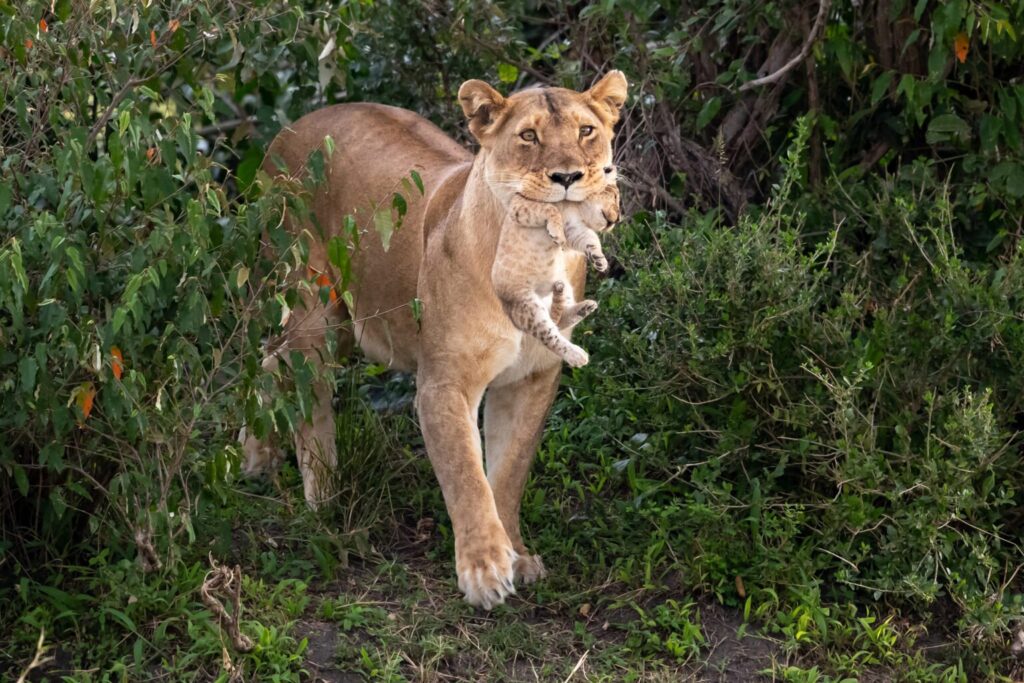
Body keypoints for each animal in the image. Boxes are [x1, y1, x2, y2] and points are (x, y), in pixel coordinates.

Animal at [242, 71, 628, 609]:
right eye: (528, 136)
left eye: (586, 131)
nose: (568, 177)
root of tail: (289, 127)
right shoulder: (444, 385)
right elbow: (466, 475)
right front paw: (484, 572)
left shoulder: (531, 378)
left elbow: (507, 473)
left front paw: (517, 556)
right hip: (312, 311)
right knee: (305, 392)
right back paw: (324, 497)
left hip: (344, 326)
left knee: (268, 360)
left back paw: (256, 457)